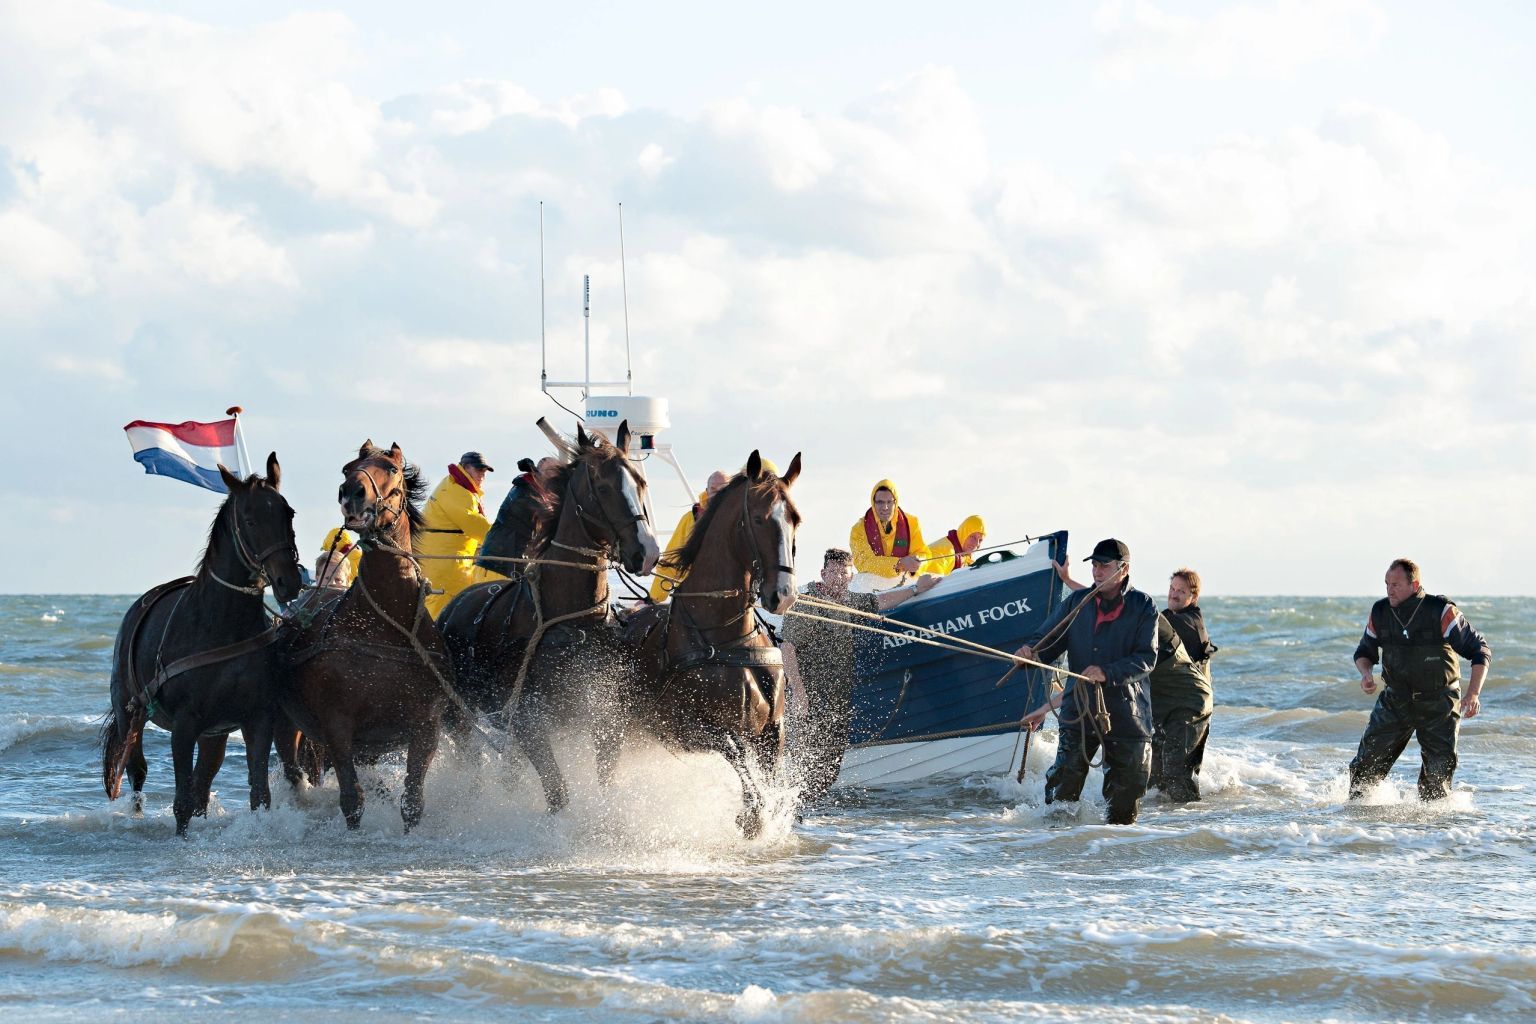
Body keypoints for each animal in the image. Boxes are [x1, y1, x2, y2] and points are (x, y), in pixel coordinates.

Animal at [99, 451, 302, 835]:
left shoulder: (257, 718)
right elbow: (181, 801)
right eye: (250, 519)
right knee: (136, 769)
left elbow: (258, 794)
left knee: (203, 781)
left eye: (289, 513)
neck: (222, 624)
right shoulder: (184, 725)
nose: (289, 582)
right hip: (129, 711)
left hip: (215, 733)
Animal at [279, 442, 448, 835]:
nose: (352, 493)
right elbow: (352, 800)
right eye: (347, 468)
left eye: (392, 468)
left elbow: (412, 802)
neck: (385, 630)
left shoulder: (426, 726)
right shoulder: (337, 725)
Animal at [436, 420, 657, 810]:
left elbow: (605, 782)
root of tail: (450, 608)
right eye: (603, 486)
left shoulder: (605, 719)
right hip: (458, 714)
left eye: (640, 483)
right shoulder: (528, 724)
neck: (571, 622)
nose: (647, 552)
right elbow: (558, 793)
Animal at [620, 451, 804, 835]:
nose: (783, 595)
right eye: (760, 519)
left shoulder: (773, 729)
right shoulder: (691, 729)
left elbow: (771, 779)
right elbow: (737, 757)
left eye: (795, 518)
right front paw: (750, 816)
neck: (729, 638)